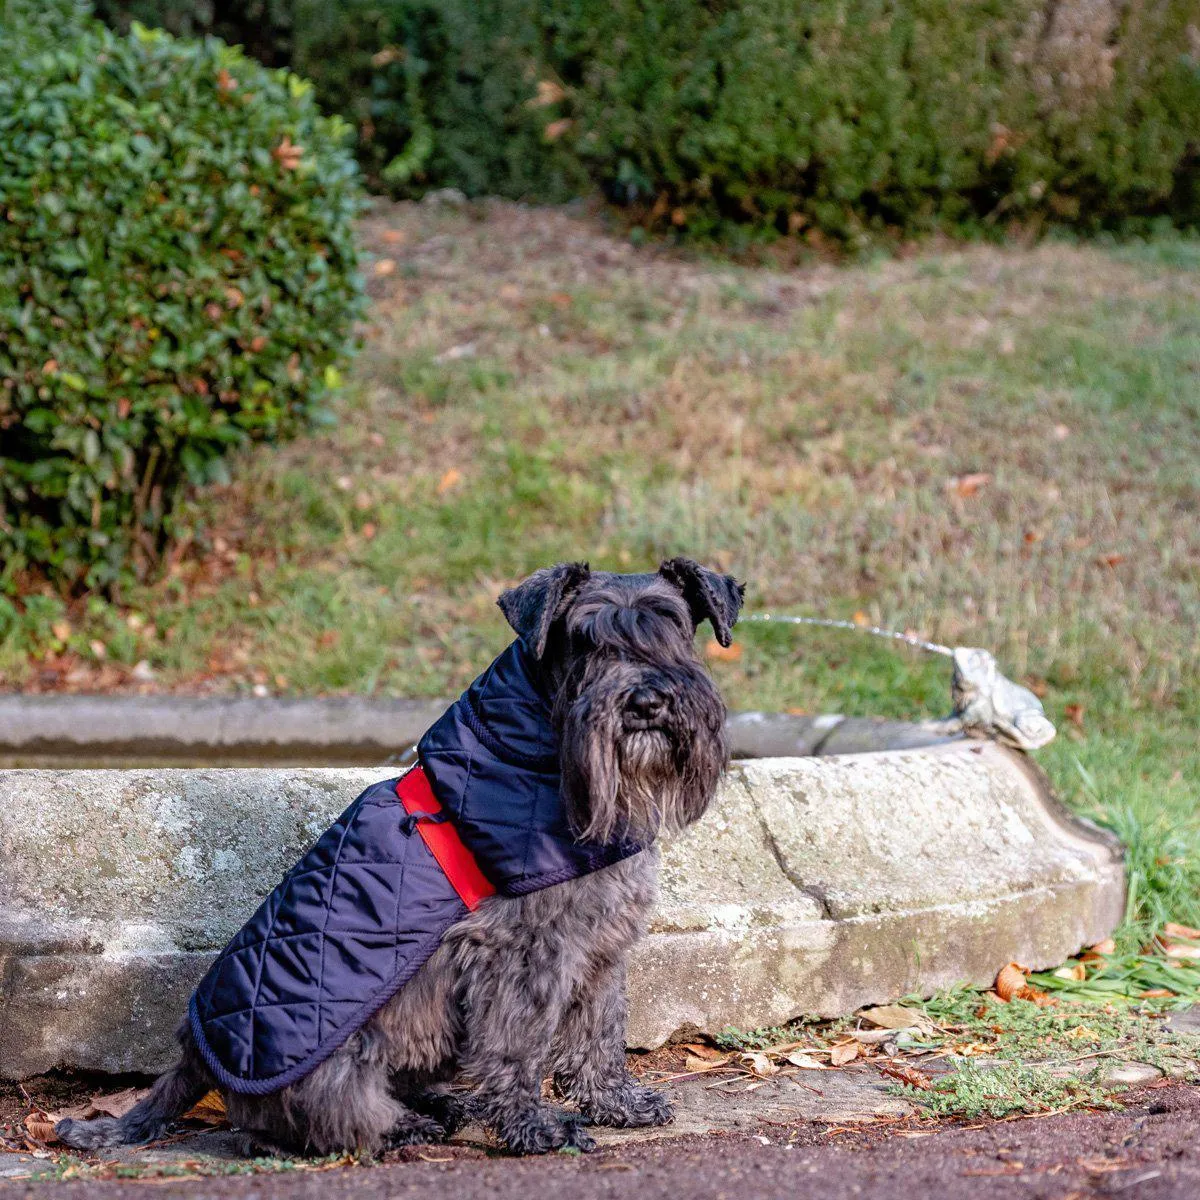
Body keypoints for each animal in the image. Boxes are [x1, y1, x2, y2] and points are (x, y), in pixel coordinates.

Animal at [63, 556, 748, 1156]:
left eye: (675, 627)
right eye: (583, 640)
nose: (646, 703)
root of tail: (194, 1056)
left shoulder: (601, 946)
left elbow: (601, 1033)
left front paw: (617, 1104)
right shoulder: (522, 954)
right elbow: (518, 1048)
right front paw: (535, 1128)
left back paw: (445, 1107)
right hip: (350, 1055)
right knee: (303, 1126)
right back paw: (407, 1126)